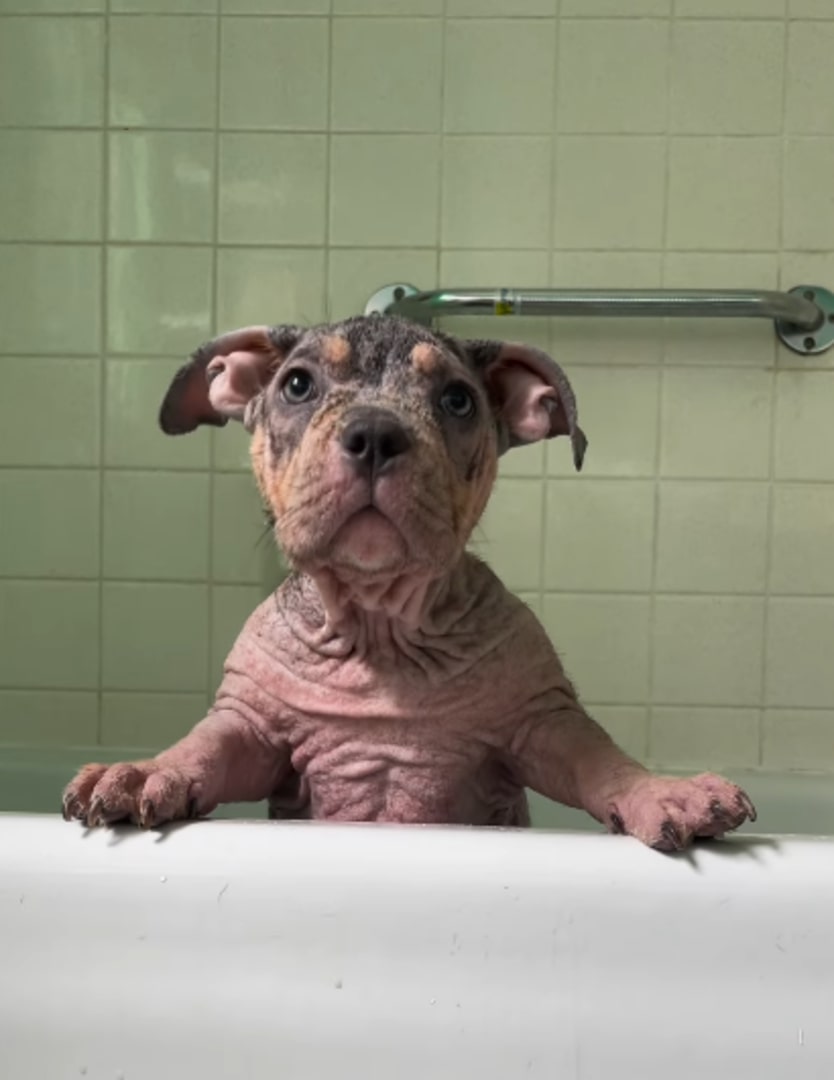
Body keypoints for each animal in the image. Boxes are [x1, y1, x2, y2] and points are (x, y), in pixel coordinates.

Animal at [63, 315, 756, 851]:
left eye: (457, 400)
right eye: (297, 385)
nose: (374, 433)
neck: (380, 627)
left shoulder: (545, 721)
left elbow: (599, 757)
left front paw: (664, 790)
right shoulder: (250, 727)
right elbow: (204, 747)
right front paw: (143, 772)